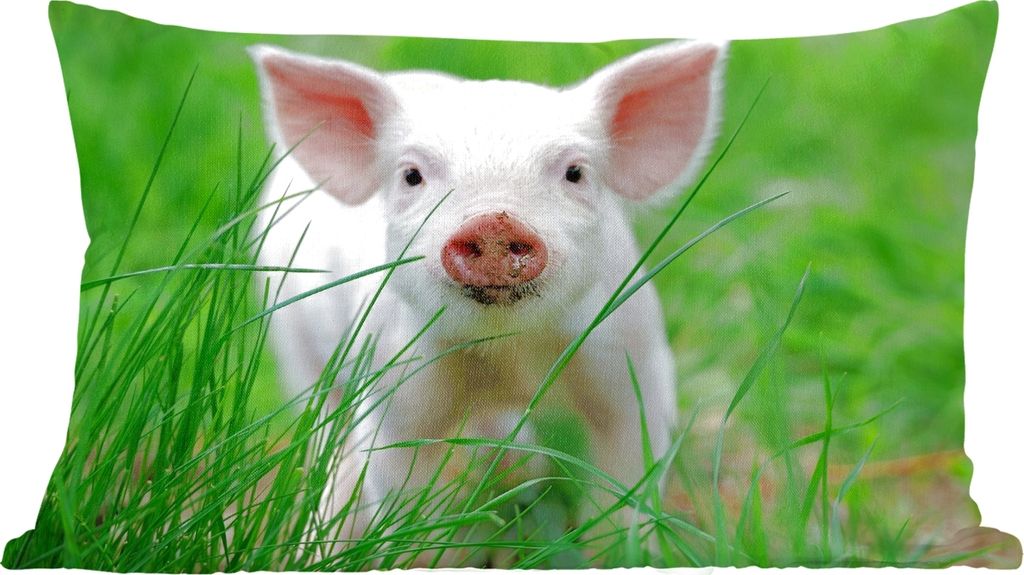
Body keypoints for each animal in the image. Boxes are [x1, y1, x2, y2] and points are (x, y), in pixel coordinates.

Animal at [250, 39, 727, 543]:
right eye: (411, 176)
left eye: (575, 172)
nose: (494, 222)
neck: (505, 351)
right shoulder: (392, 376)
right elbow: (398, 485)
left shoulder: (633, 358)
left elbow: (627, 479)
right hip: (291, 335)